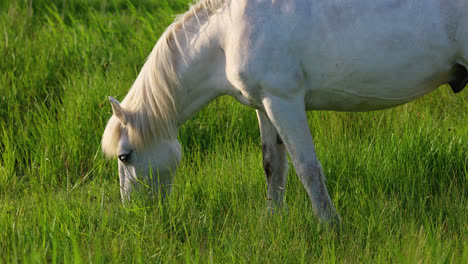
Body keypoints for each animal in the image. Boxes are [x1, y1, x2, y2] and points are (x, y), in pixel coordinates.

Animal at [102, 0, 468, 227]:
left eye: (124, 156)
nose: (135, 214)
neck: (227, 34)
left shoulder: (284, 102)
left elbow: (308, 170)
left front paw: (330, 226)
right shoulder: (265, 106)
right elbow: (272, 166)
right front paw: (273, 218)